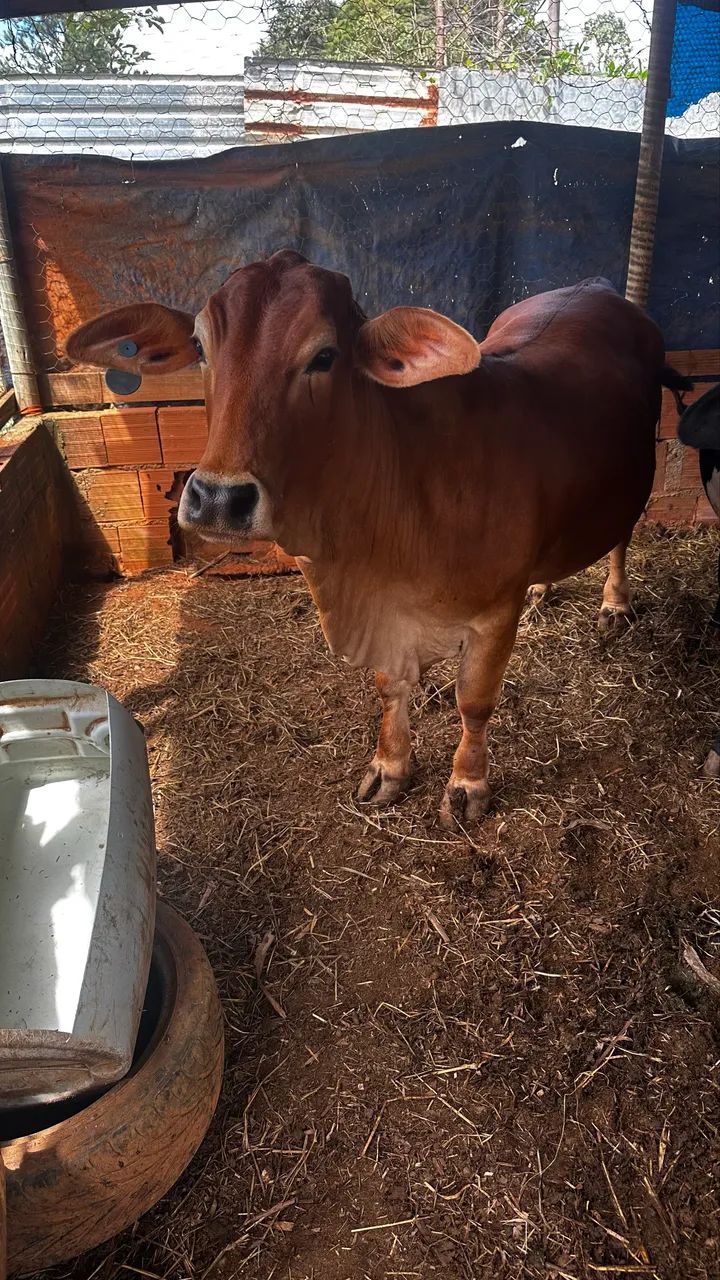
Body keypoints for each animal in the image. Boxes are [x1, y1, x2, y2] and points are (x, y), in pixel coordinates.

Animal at [67, 251, 684, 827]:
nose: (218, 499)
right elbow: (391, 688)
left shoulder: (491, 616)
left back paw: (615, 603)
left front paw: (466, 785)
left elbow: (474, 703)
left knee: (622, 536)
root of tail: (597, 289)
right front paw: (389, 767)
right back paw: (542, 588)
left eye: (324, 356)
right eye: (200, 346)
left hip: (635, 473)